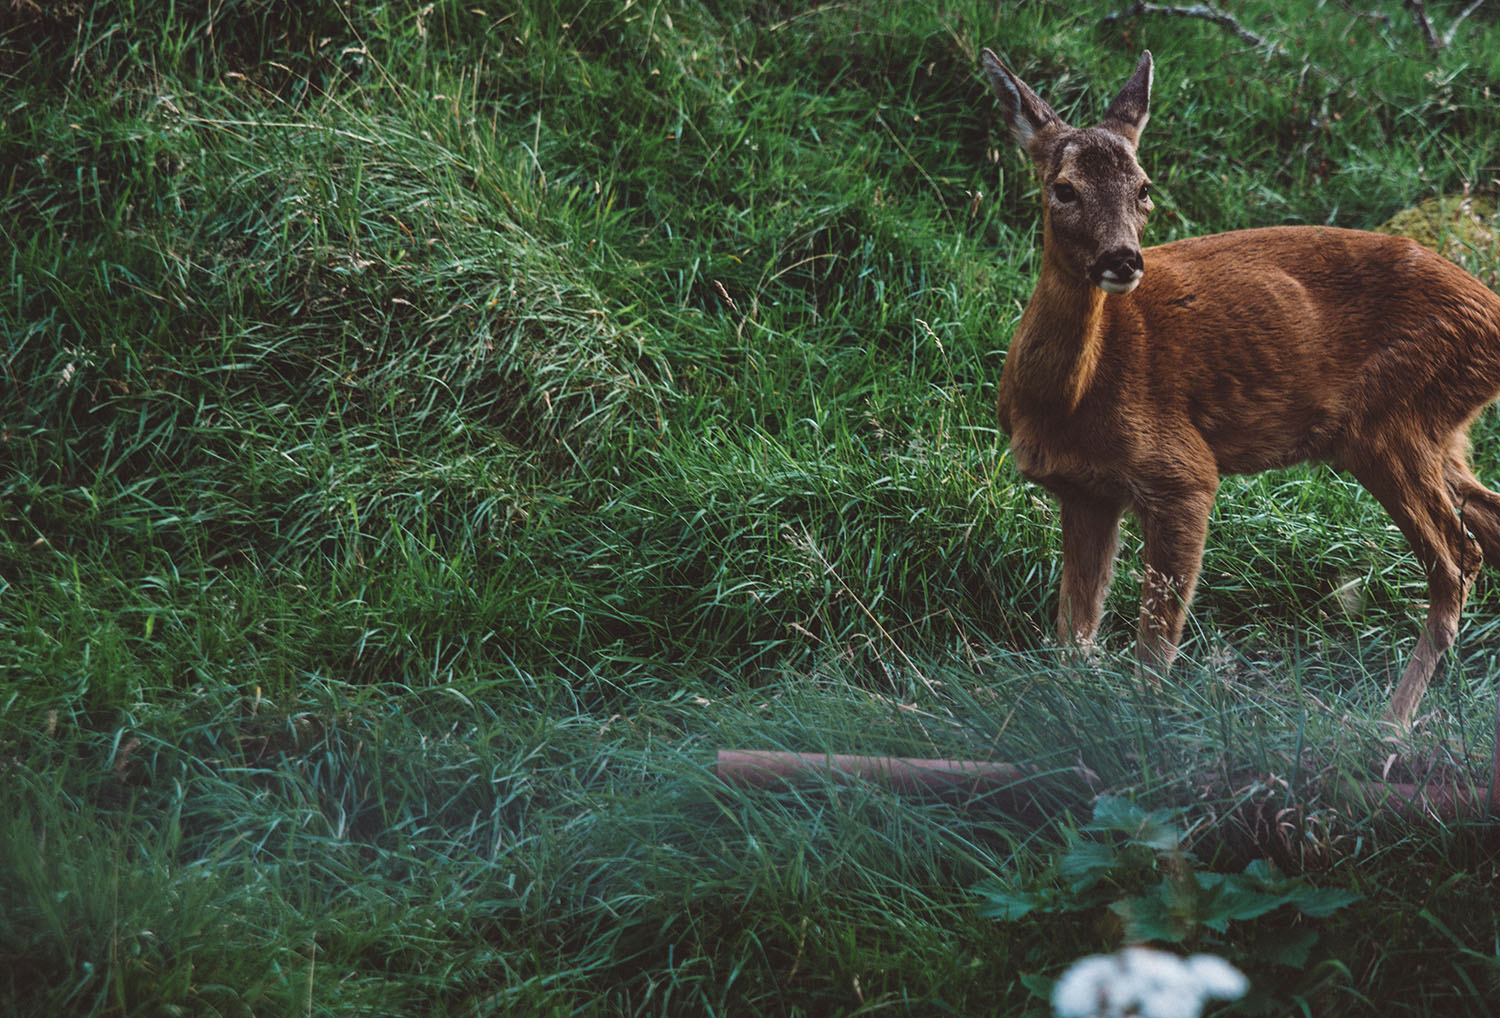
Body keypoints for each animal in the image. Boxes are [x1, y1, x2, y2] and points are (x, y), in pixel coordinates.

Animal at [978, 47, 1500, 728]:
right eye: (1062, 188)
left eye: (1144, 188)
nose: (1123, 259)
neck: (1070, 399)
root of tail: (1490, 314)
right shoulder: (1085, 491)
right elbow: (1075, 631)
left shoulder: (1181, 472)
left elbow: (1153, 644)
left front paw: (1142, 726)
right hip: (1441, 432)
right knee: (1486, 524)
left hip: (1390, 419)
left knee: (1457, 560)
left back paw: (1388, 726)